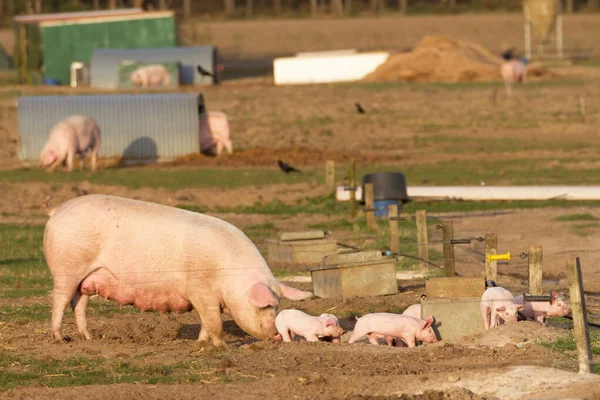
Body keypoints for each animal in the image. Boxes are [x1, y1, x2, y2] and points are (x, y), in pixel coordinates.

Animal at [41, 195, 314, 346]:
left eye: (277, 306)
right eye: (265, 306)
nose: (277, 335)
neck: (227, 274)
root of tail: (56, 210)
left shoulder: (206, 298)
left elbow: (205, 322)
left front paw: (201, 343)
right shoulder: (200, 291)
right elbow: (214, 322)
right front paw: (221, 346)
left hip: (85, 278)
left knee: (78, 303)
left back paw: (89, 338)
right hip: (66, 269)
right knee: (59, 300)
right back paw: (59, 339)